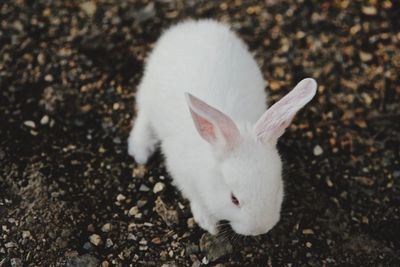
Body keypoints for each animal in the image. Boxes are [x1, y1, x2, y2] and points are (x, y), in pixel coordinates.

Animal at [126, 19, 318, 237]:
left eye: (277, 188)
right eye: (234, 199)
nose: (259, 230)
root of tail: (189, 26)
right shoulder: (180, 171)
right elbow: (194, 196)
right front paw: (208, 223)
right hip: (148, 93)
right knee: (144, 115)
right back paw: (140, 149)